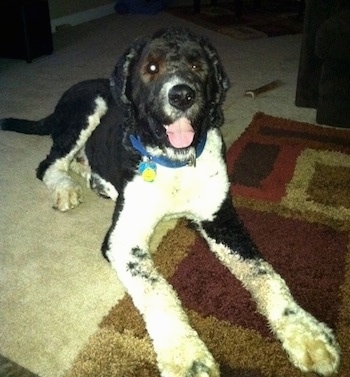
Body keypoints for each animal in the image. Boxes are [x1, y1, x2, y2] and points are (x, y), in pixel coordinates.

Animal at [0, 27, 340, 376]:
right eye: (151, 68)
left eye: (197, 66)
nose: (182, 95)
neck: (175, 163)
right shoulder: (124, 238)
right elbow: (157, 290)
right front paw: (186, 355)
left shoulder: (221, 220)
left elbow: (264, 272)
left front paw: (306, 332)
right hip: (88, 109)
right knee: (49, 164)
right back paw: (66, 188)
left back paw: (93, 177)